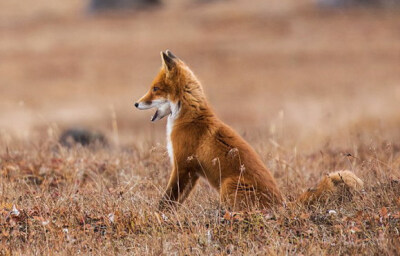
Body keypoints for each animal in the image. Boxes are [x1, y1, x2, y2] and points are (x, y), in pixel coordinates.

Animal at [134, 50, 362, 210]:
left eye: (155, 89)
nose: (136, 103)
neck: (190, 117)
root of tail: (282, 204)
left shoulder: (183, 166)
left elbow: (167, 200)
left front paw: (157, 215)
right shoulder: (193, 172)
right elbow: (176, 201)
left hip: (228, 186)